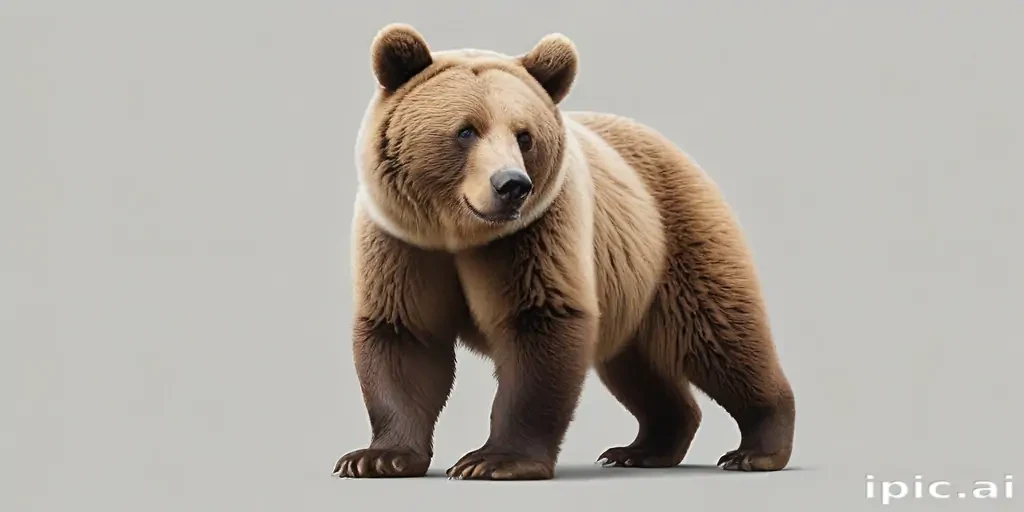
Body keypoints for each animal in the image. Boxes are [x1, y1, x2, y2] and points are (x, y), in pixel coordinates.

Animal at [332, 23, 796, 481]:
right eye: (466, 130)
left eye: (524, 136)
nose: (512, 185)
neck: (460, 236)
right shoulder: (403, 244)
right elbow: (404, 336)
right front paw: (377, 457)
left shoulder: (537, 235)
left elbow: (540, 324)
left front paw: (494, 460)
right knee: (640, 368)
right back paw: (642, 448)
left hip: (677, 238)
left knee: (720, 336)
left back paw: (756, 450)